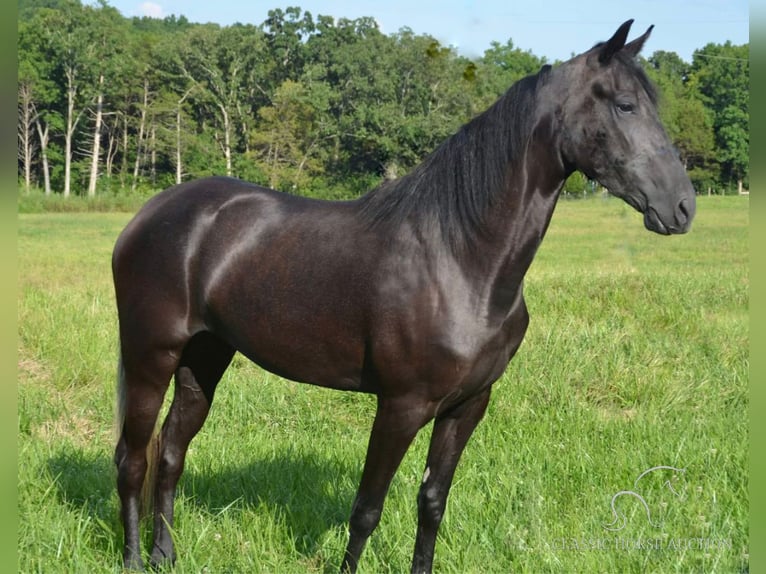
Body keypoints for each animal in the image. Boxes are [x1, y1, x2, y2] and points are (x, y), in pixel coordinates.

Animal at [113, 19, 695, 573]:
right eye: (624, 104)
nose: (682, 206)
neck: (460, 258)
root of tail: (150, 213)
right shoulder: (401, 405)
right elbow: (367, 508)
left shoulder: (467, 405)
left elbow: (432, 501)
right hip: (150, 356)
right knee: (133, 459)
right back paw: (135, 559)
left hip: (205, 356)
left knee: (171, 452)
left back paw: (166, 555)